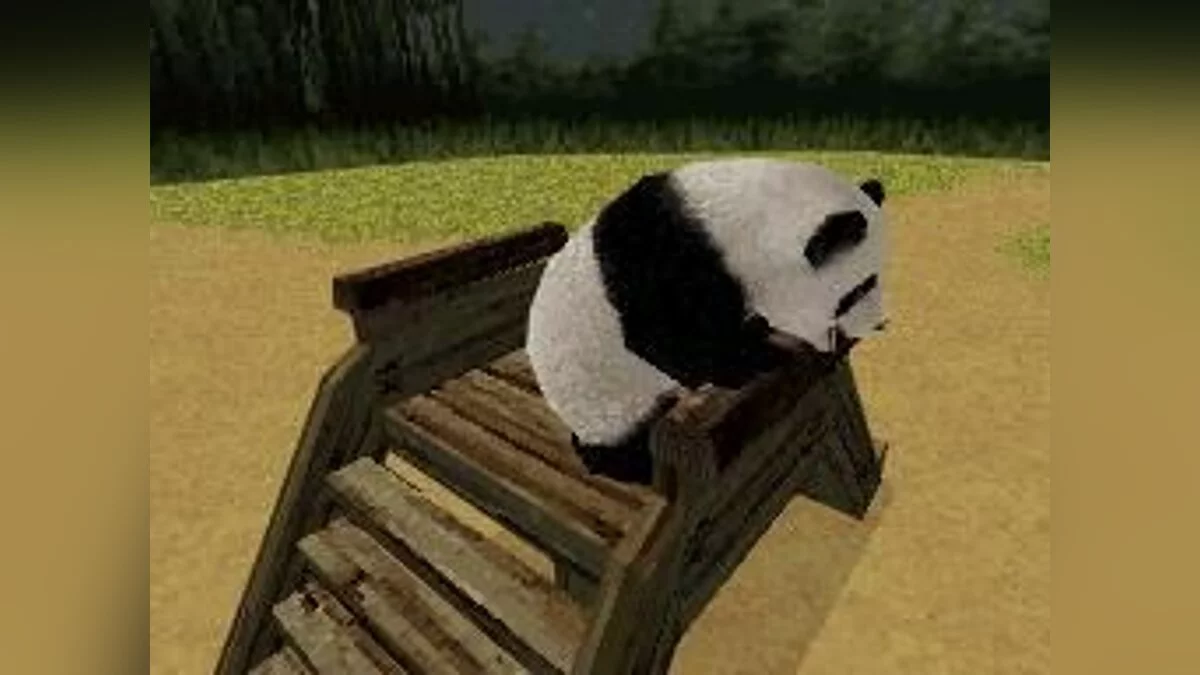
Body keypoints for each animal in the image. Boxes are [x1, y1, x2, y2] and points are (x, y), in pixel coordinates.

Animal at [525, 157, 888, 485]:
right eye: (858, 289)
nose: (879, 325)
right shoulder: (660, 260)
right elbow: (664, 337)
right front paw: (756, 362)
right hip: (600, 396)